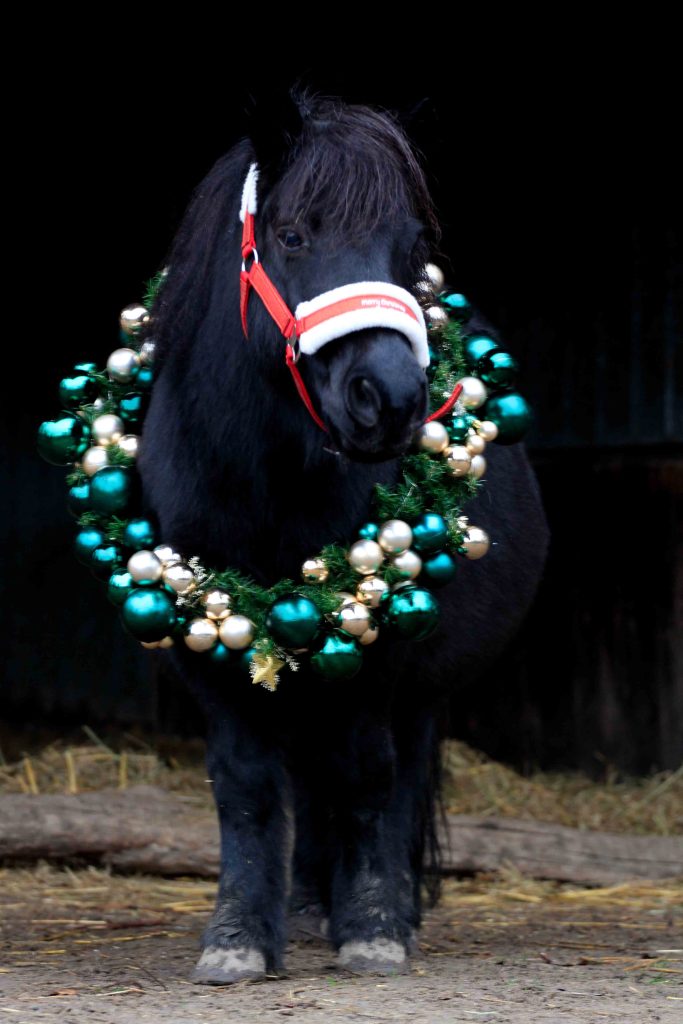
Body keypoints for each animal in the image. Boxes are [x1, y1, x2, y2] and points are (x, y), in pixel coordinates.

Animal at [137, 91, 549, 984]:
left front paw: (372, 926)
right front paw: (237, 937)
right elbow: (246, 784)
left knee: (389, 778)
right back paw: (302, 906)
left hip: (416, 684)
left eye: (414, 246)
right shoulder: (204, 645)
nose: (387, 400)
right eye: (293, 235)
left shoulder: (380, 649)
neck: (260, 478)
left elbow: (366, 777)